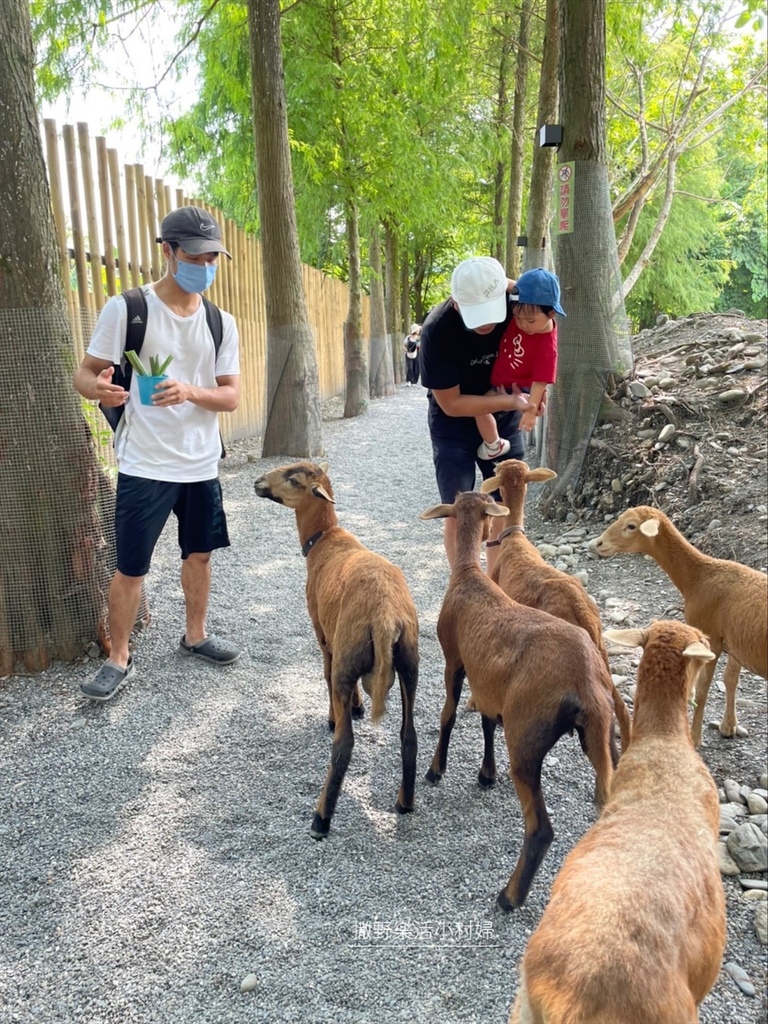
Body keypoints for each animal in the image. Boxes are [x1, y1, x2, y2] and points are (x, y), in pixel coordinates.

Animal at [256, 460, 417, 835]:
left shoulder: (324, 634)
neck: (324, 539)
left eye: (293, 480)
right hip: (409, 664)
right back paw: (404, 803)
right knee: (409, 736)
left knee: (344, 743)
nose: (258, 481)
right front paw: (358, 706)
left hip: (349, 651)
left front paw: (336, 716)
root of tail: (385, 617)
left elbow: (325, 675)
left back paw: (321, 817)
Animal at [417, 491, 618, 909]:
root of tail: (586, 681)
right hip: (601, 734)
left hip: (527, 735)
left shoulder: (455, 661)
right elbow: (486, 723)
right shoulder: (491, 685)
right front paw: (486, 774)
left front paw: (436, 768)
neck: (468, 574)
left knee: (540, 829)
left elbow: (448, 714)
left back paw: (510, 896)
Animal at [483, 460, 634, 757]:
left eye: (498, 472)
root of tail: (580, 610)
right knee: (620, 706)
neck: (514, 538)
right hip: (600, 645)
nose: (494, 463)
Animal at [593, 503, 765, 745]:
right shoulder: (734, 643)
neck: (698, 576)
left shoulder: (710, 637)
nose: (598, 543)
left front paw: (694, 737)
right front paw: (728, 726)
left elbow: (701, 690)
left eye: (631, 526)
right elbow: (730, 679)